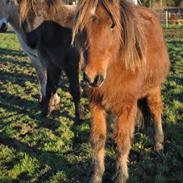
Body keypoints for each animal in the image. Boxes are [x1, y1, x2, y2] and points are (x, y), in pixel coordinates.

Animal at [72, 0, 169, 182]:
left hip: (153, 88)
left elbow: (122, 143)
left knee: (155, 110)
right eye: (82, 26)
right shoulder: (96, 104)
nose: (92, 77)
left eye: (112, 25)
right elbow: (98, 140)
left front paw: (120, 175)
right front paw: (96, 175)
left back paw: (159, 144)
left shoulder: (126, 105)